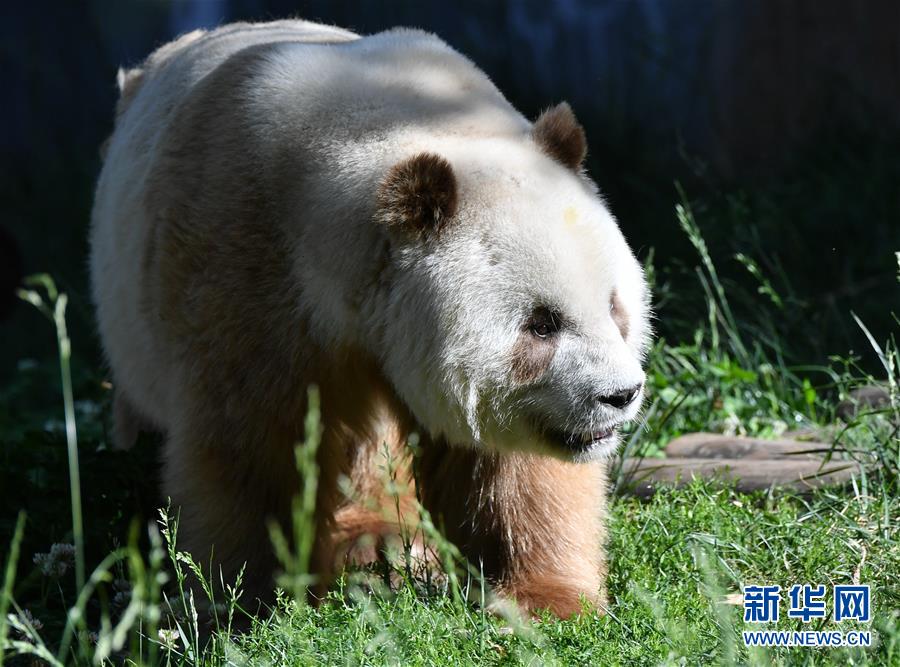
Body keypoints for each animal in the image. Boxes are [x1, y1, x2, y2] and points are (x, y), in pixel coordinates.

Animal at [91, 18, 652, 620]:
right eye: (541, 323)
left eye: (614, 307)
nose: (620, 395)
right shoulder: (245, 269)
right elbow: (252, 442)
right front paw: (247, 599)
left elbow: (517, 466)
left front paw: (544, 600)